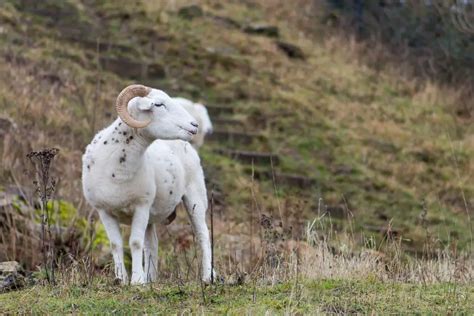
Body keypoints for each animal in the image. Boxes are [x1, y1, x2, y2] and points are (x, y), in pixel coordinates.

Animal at [82, 83, 215, 284]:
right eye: (158, 104)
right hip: (152, 216)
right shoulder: (104, 211)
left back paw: (208, 277)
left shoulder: (141, 206)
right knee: (152, 244)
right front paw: (121, 279)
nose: (194, 125)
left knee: (203, 236)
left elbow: (135, 243)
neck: (118, 170)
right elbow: (116, 244)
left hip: (195, 196)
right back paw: (151, 279)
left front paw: (137, 281)